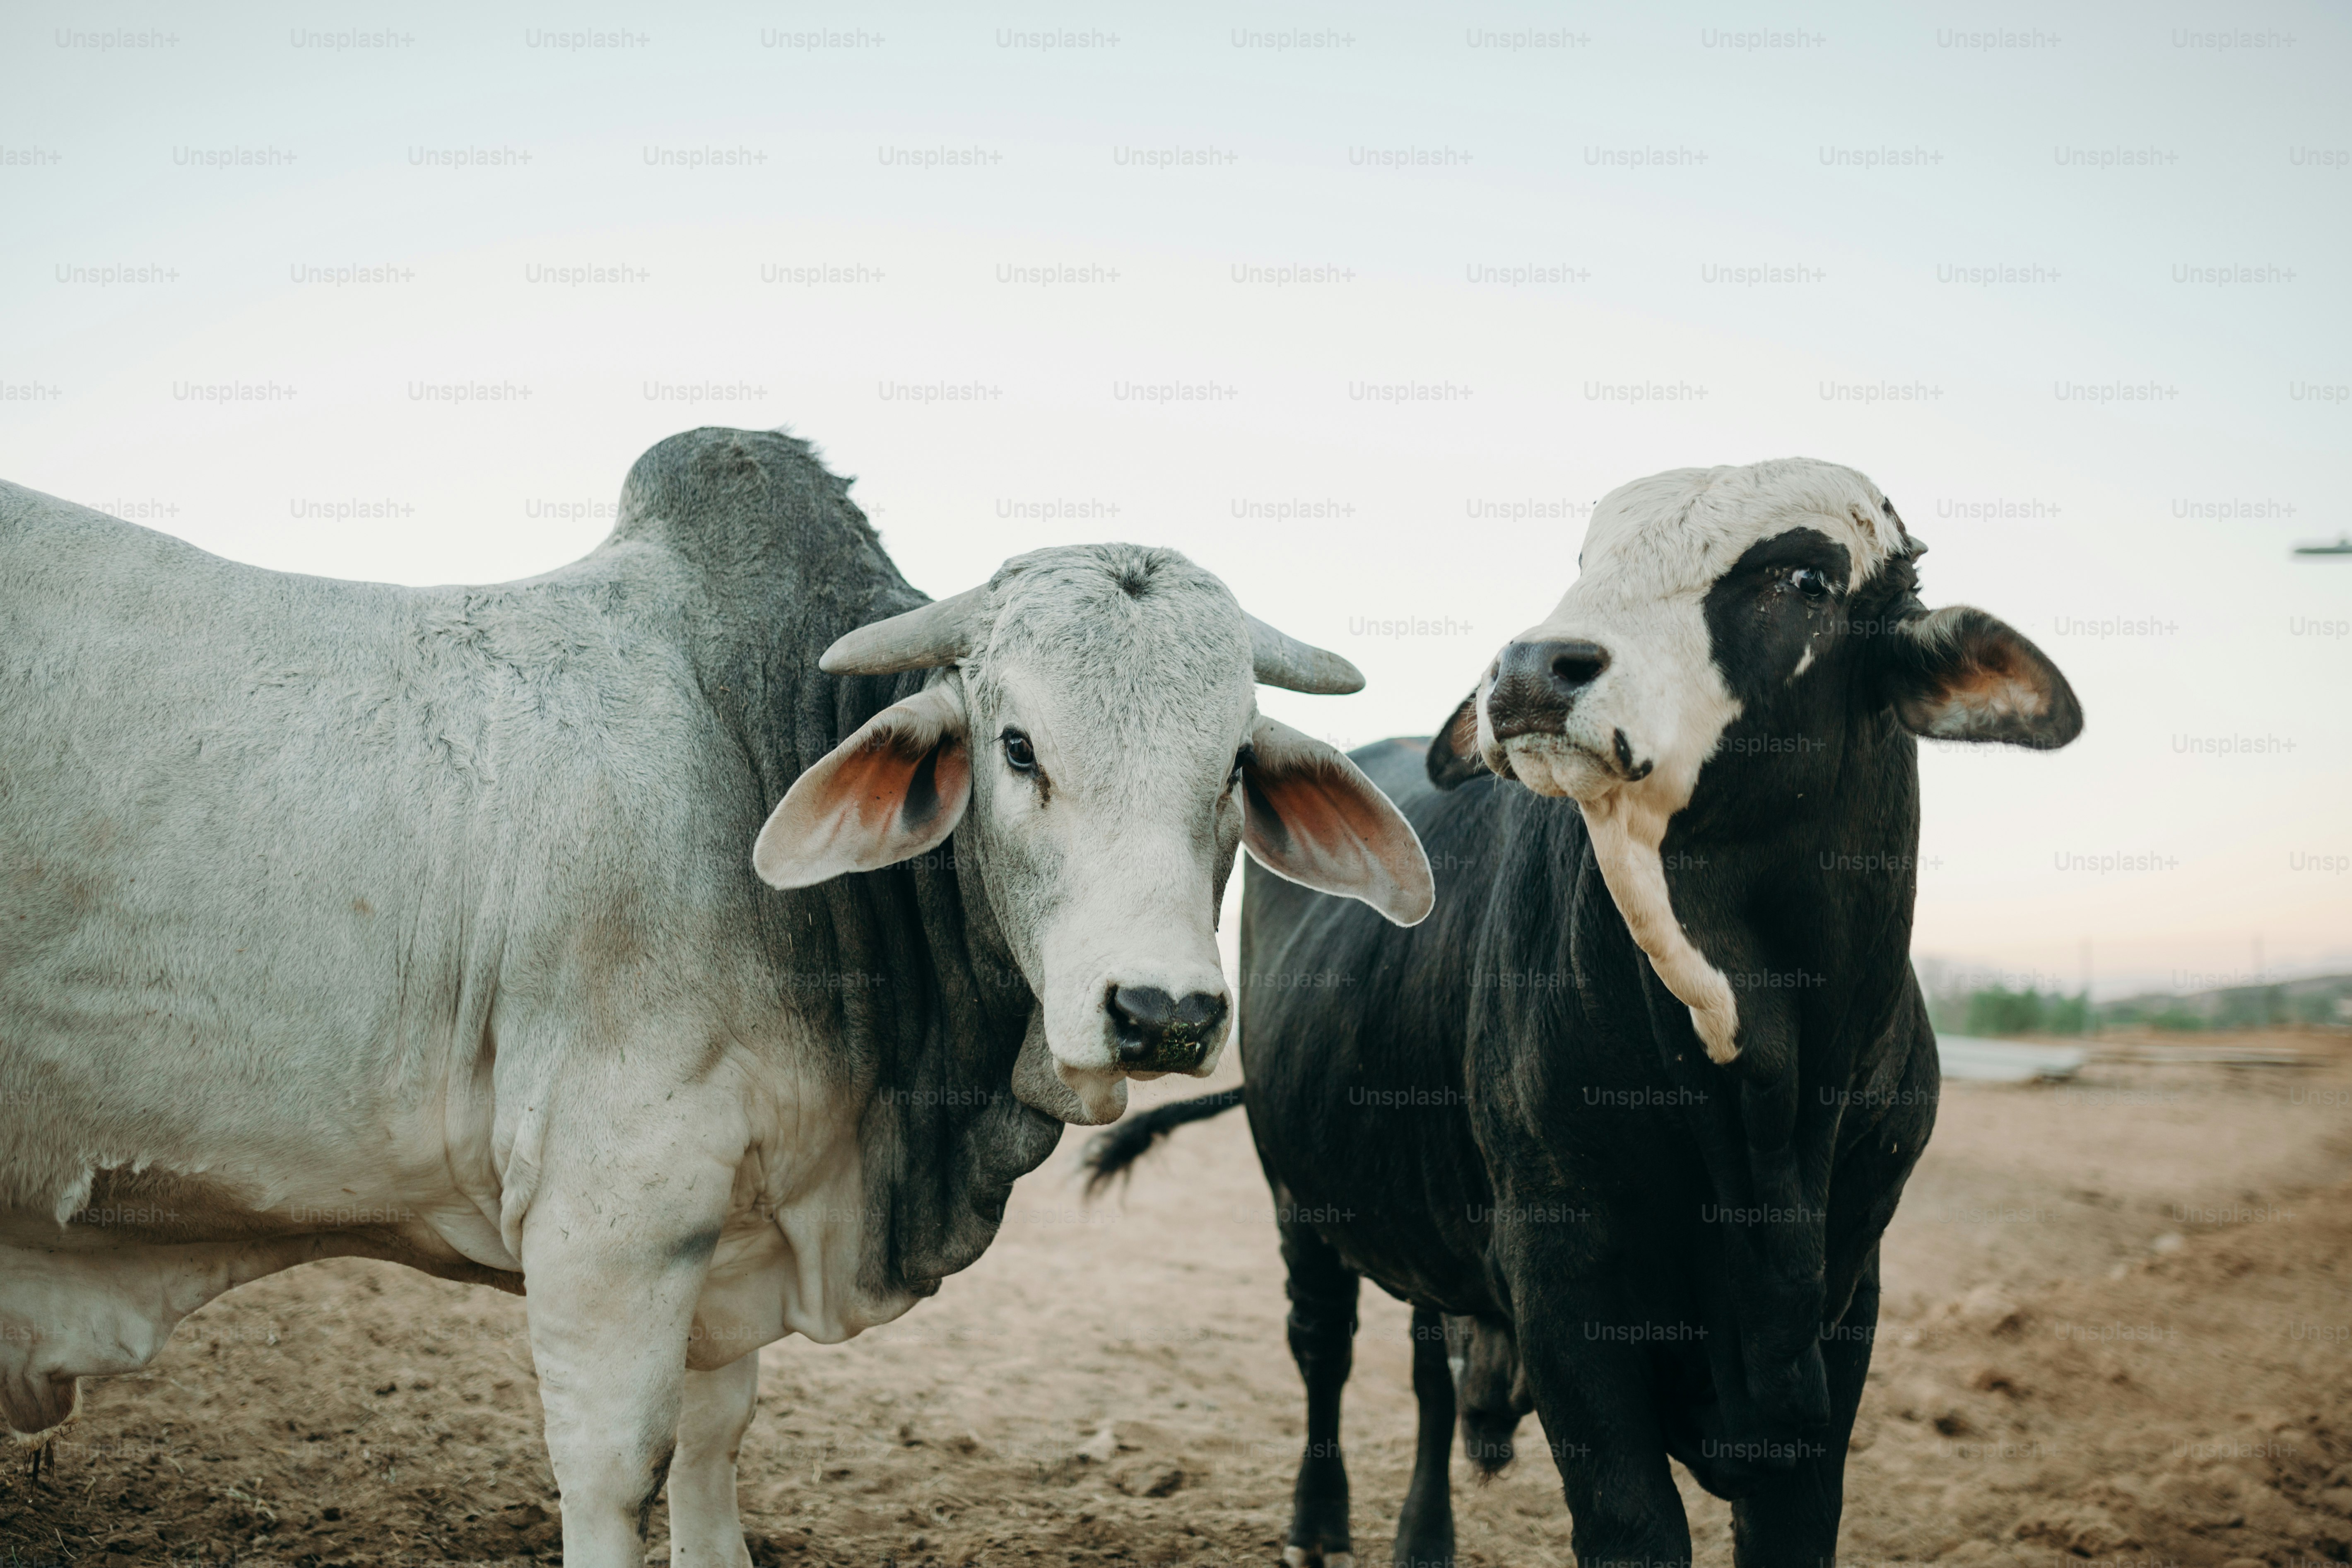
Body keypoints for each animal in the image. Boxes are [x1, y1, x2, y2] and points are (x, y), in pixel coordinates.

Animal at [0, 425, 1435, 1568]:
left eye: (1234, 764)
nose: (1162, 1011)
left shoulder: (729, 1233)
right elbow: (612, 1468)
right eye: (1019, 744)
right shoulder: (609, 1221)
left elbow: (711, 1445)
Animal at [1084, 458, 2083, 1568]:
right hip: (1296, 1186)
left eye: (1806, 581)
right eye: (1585, 563)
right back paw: (1319, 1521)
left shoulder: (1844, 1296)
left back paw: (1422, 1537)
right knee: (1322, 1346)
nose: (1526, 666)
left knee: (1428, 1370)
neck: (1763, 1105)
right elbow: (1631, 1526)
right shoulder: (1565, 1284)